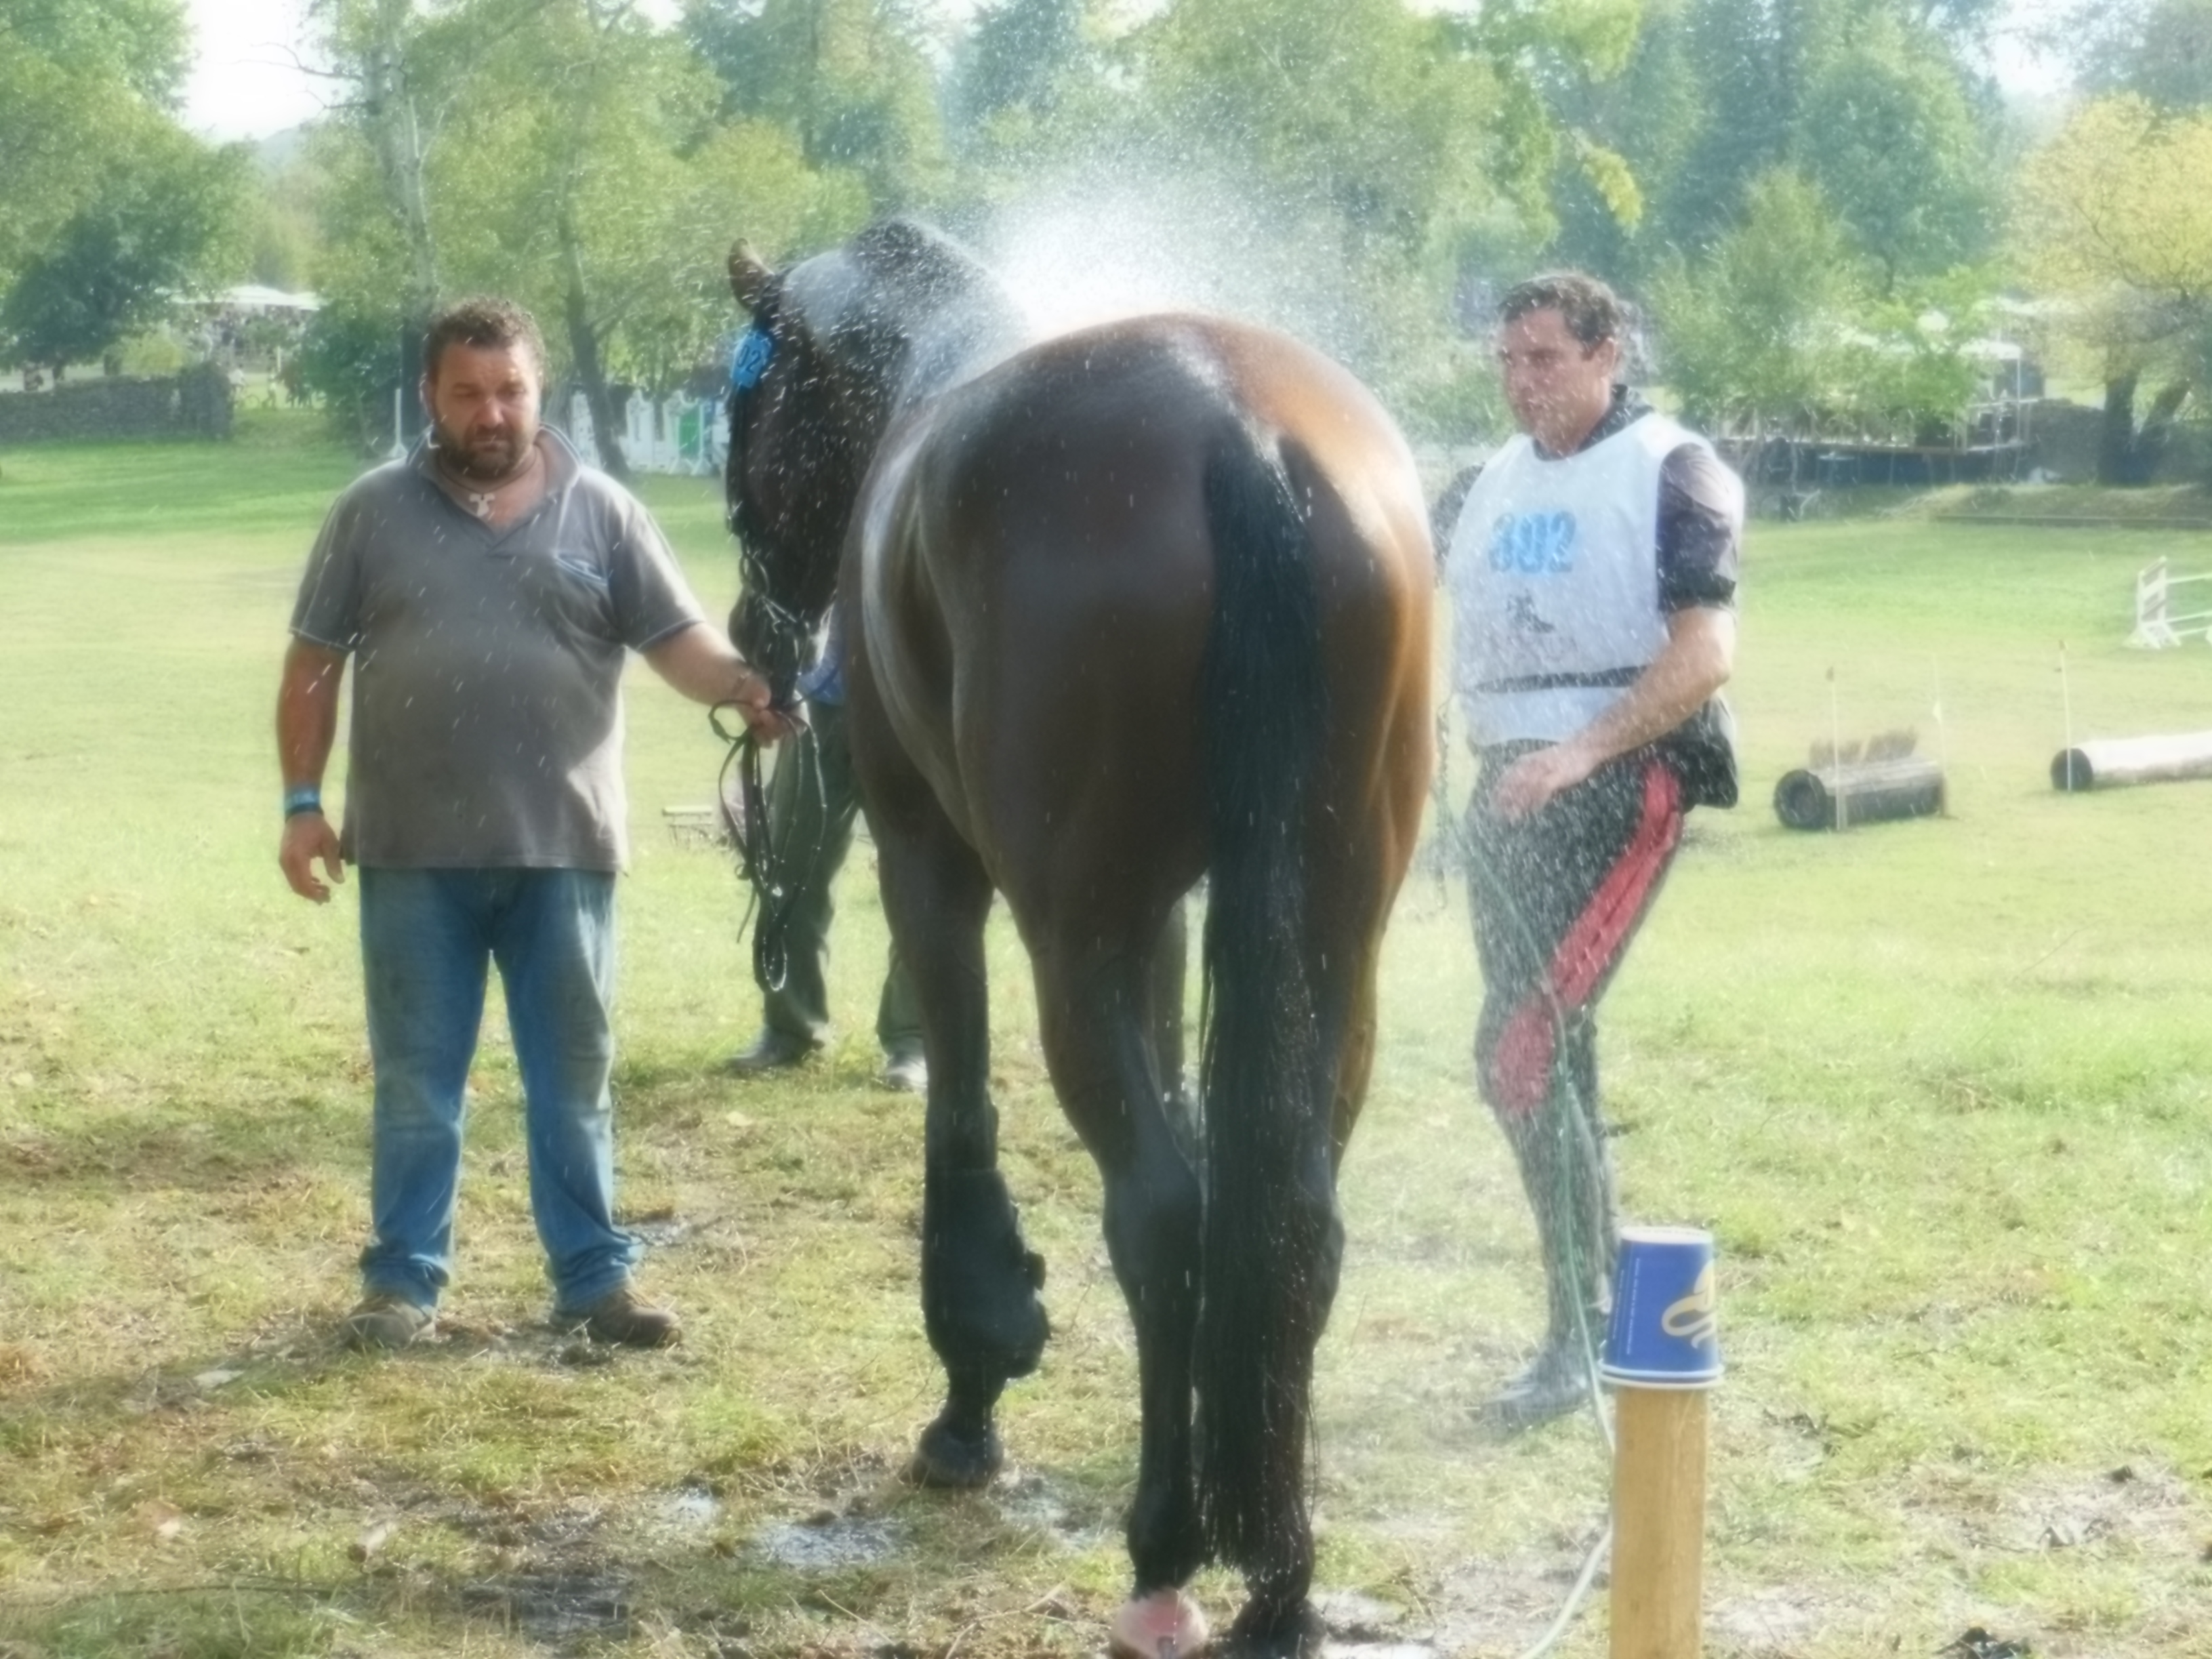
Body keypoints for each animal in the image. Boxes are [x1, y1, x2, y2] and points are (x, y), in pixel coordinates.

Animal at [725, 224, 1433, 1659]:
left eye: (743, 413)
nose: (750, 630)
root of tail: (1237, 427)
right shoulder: (1158, 923)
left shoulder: (927, 861)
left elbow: (959, 1108)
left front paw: (971, 1382)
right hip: (1329, 934)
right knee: (1290, 1216)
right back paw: (1277, 1571)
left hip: (1066, 935)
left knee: (1157, 1211)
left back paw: (1165, 1542)